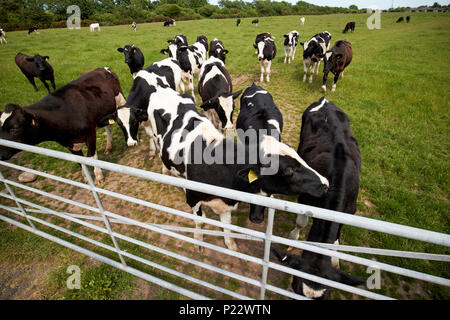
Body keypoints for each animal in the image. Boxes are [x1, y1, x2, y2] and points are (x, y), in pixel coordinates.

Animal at [108, 84, 326, 251]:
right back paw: (166, 171)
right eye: (288, 170)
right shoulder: (194, 197)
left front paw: (231, 245)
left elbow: (227, 226)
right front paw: (199, 242)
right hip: (154, 132)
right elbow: (199, 221)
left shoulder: (226, 203)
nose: (325, 183)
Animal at [272, 97, 364, 300]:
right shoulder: (305, 198)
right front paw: (293, 237)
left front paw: (336, 257)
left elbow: (338, 232)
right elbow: (301, 222)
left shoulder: (350, 210)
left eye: (327, 296)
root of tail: (325, 100)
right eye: (295, 286)